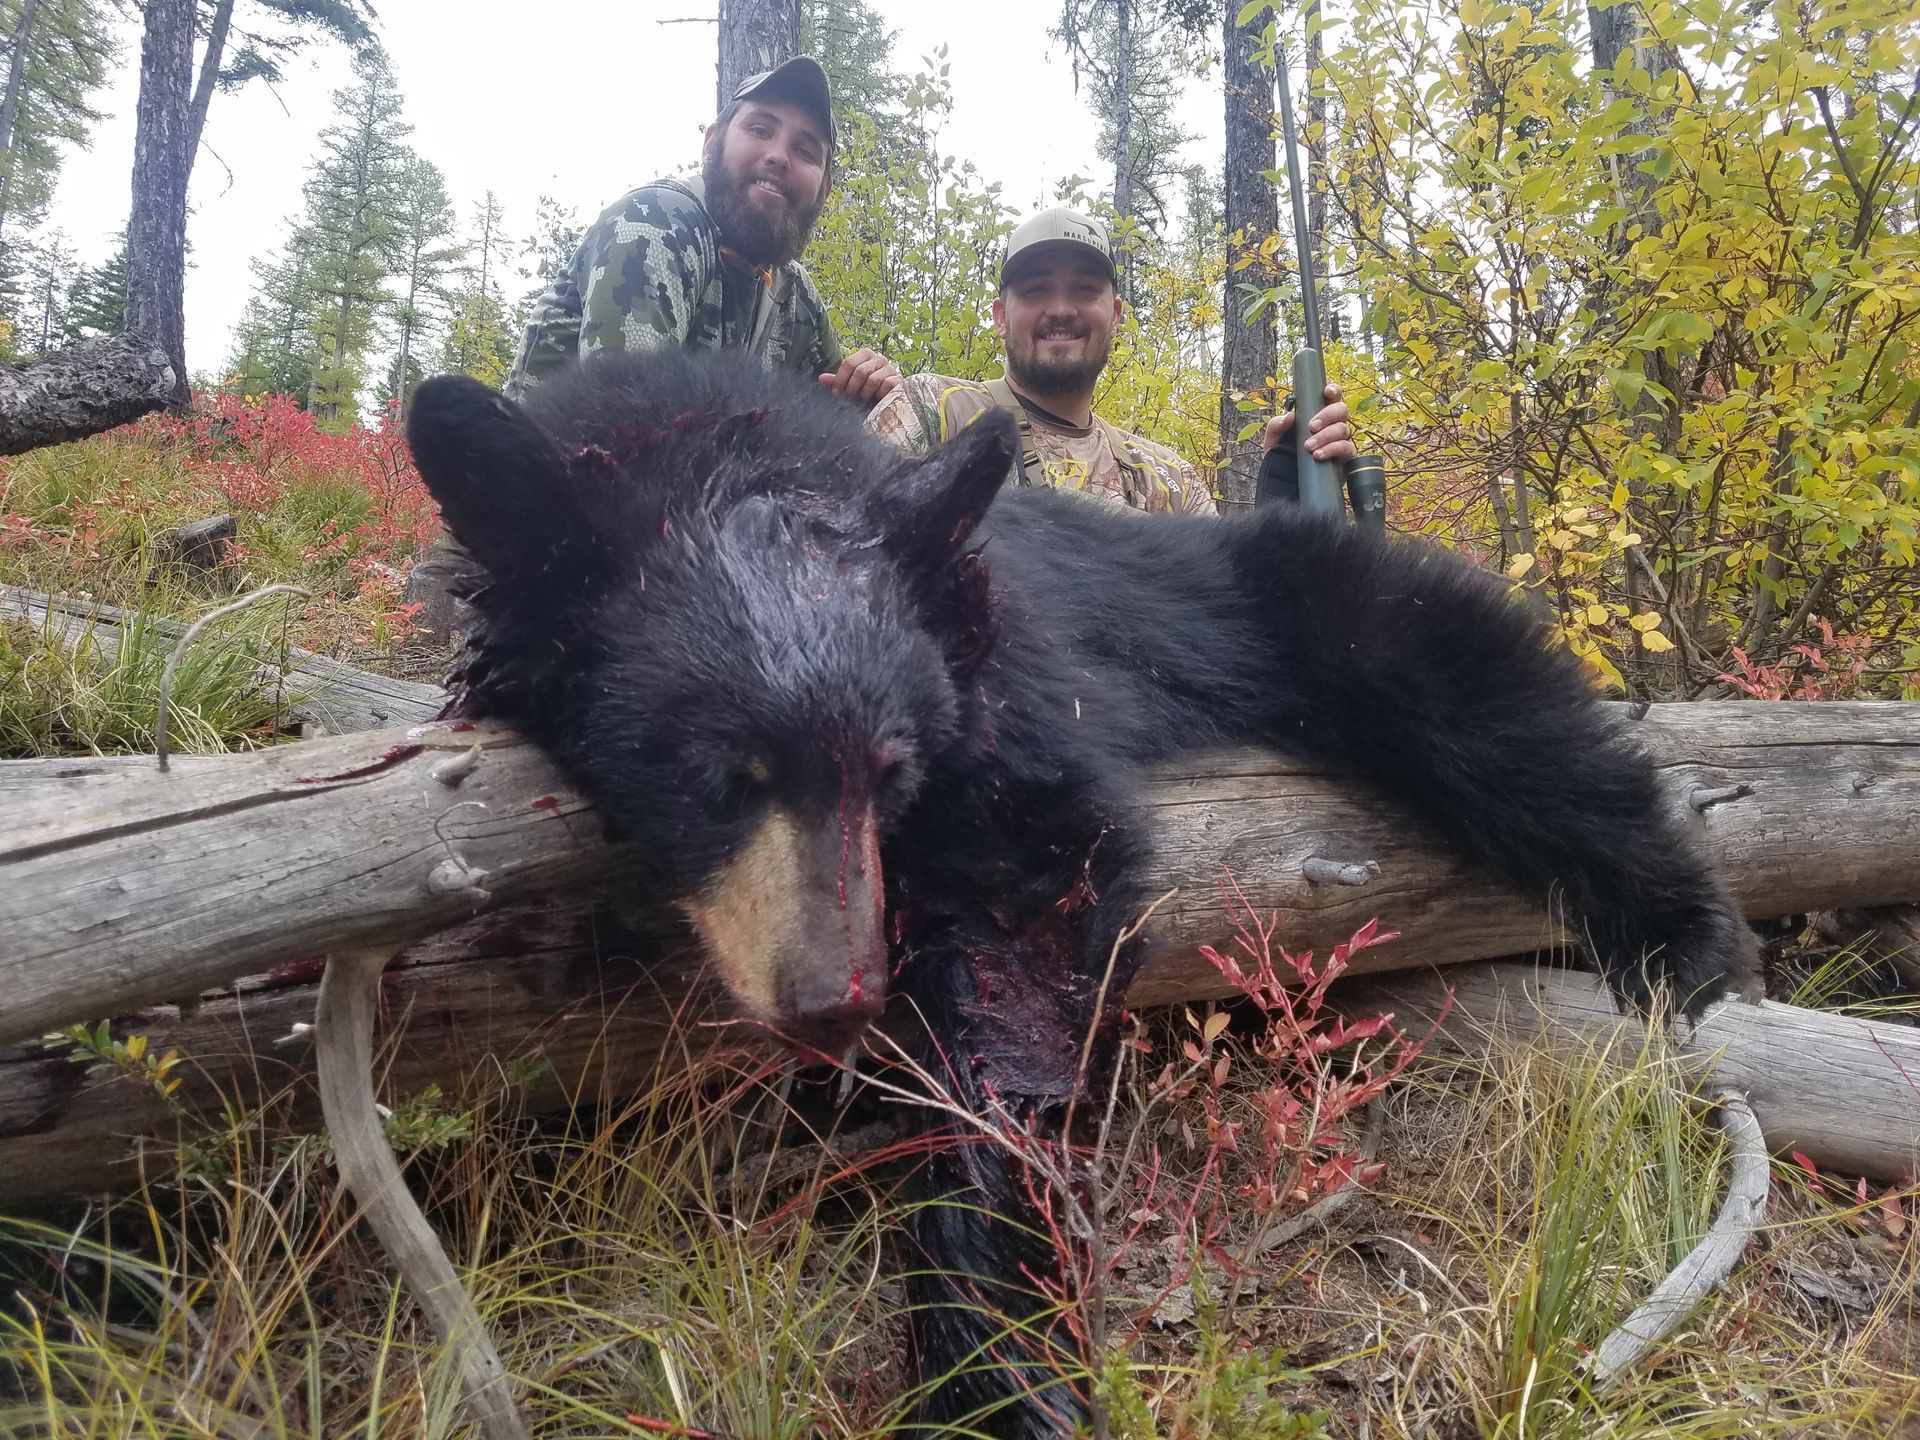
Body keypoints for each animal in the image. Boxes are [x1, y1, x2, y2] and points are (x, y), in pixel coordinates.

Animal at [405, 349, 1758, 1438]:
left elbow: (1021, 952)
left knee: (1498, 718)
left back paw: (1691, 943)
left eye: (890, 766)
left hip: (1331, 616)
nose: (835, 999)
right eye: (715, 776)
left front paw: (994, 1367)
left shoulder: (1008, 699)